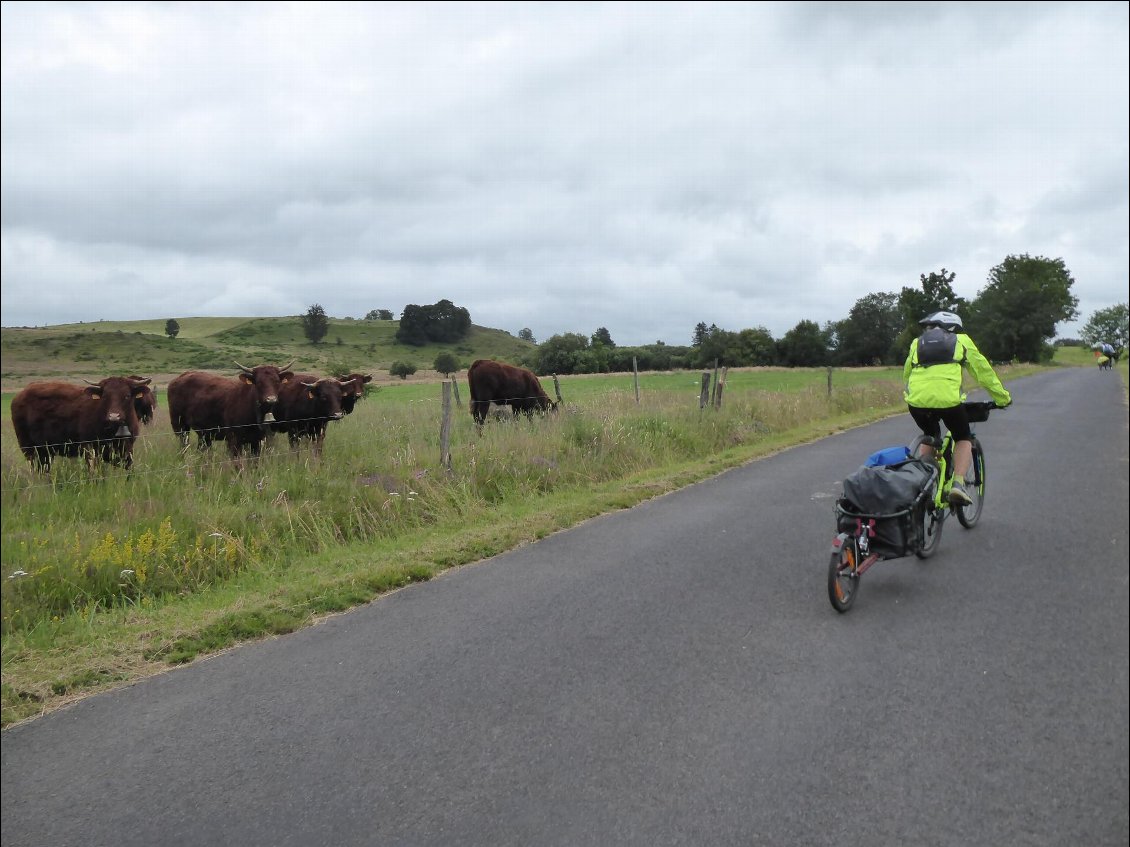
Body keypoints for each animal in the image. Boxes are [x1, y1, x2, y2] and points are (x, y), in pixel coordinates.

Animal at [11, 377, 152, 472]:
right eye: (105, 396)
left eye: (127, 395)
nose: (113, 416)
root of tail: (20, 395)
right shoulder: (89, 448)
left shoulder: (127, 450)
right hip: (29, 448)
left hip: (45, 451)